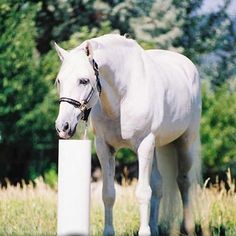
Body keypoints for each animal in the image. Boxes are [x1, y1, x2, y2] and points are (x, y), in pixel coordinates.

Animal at [54, 34, 201, 235]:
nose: (63, 126)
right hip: (156, 148)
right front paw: (109, 232)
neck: (124, 94)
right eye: (59, 81)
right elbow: (108, 193)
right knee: (158, 185)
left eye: (83, 80)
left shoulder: (144, 146)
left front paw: (144, 232)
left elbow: (143, 192)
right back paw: (155, 228)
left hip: (185, 142)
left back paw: (187, 227)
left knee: (183, 181)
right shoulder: (104, 148)